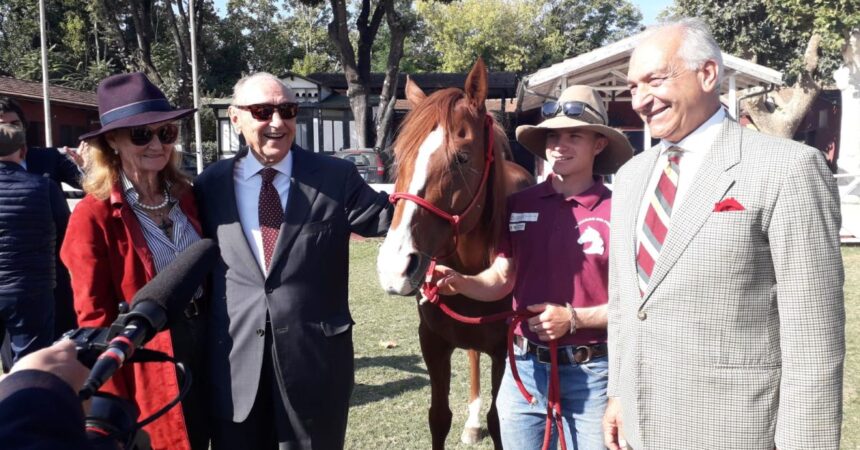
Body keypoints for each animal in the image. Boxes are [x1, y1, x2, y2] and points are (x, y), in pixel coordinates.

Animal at [376, 59, 532, 446]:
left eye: (461, 157)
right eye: (399, 156)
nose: (394, 268)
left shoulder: (505, 351)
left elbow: (499, 419)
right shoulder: (432, 343)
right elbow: (438, 417)